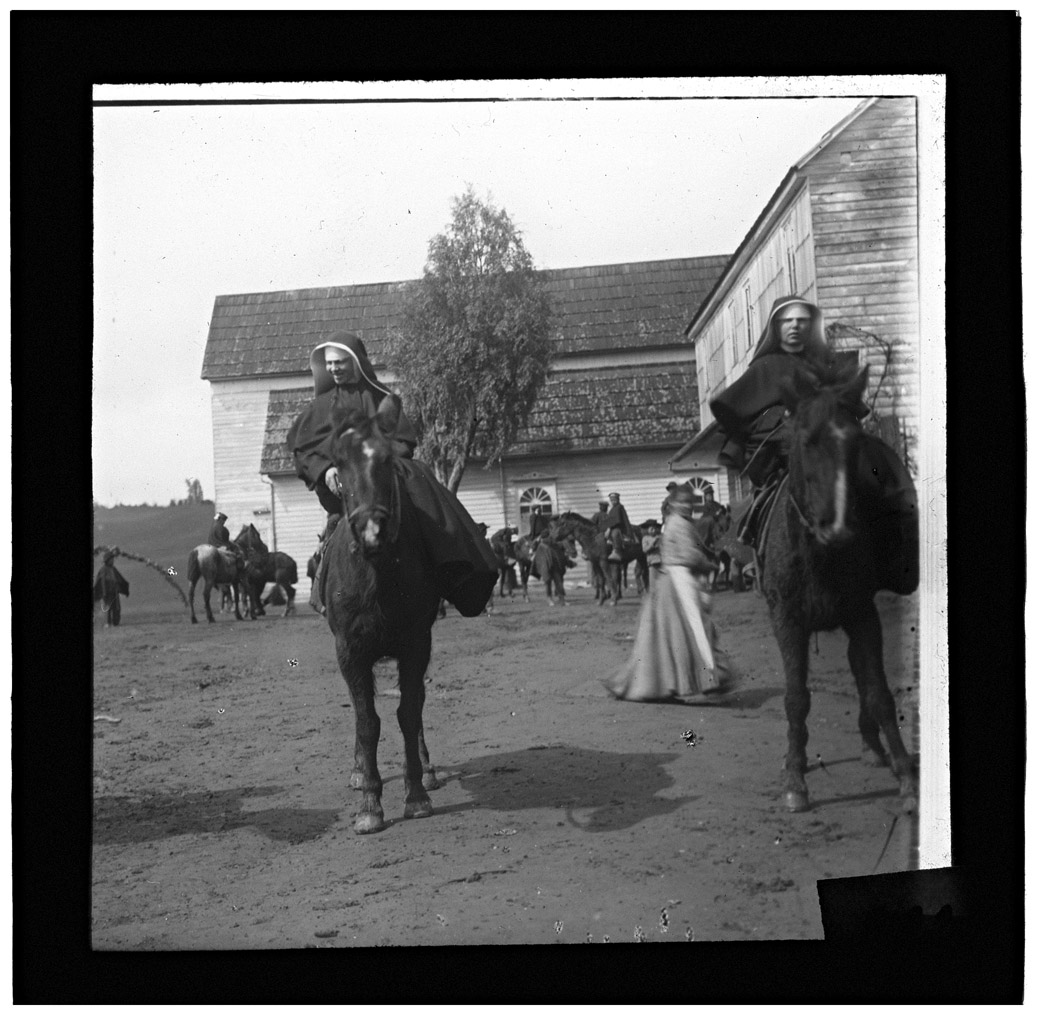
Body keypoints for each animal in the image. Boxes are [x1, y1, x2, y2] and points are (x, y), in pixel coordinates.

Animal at [320, 396, 444, 834]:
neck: (377, 577)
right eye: (339, 462)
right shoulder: (350, 653)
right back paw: (359, 771)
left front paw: (416, 793)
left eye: (389, 459)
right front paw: (370, 803)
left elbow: (408, 712)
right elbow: (367, 721)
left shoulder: (416, 646)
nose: (372, 529)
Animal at [763, 363, 918, 814]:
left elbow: (880, 692)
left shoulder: (863, 615)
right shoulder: (788, 622)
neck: (819, 552)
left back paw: (873, 746)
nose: (838, 528)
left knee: (860, 674)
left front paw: (905, 775)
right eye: (806, 439)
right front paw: (795, 778)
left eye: (857, 443)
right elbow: (796, 698)